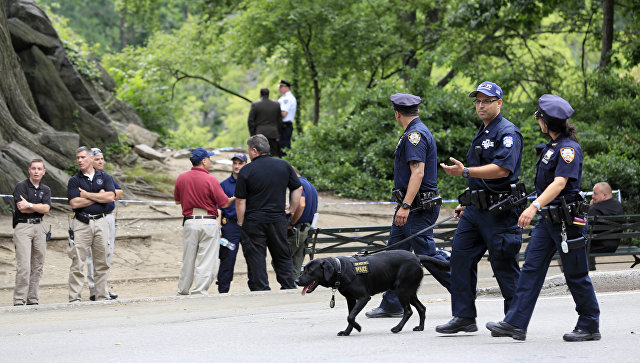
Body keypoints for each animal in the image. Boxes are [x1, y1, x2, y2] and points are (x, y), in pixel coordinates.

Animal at [296, 249, 450, 336]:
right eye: (304, 269)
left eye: (310, 271)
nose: (297, 281)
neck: (340, 269)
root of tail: (417, 257)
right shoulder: (351, 299)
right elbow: (350, 316)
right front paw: (347, 332)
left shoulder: (364, 297)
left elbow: (350, 317)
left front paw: (358, 327)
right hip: (409, 292)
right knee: (421, 308)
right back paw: (420, 327)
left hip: (402, 290)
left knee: (408, 311)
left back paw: (397, 328)